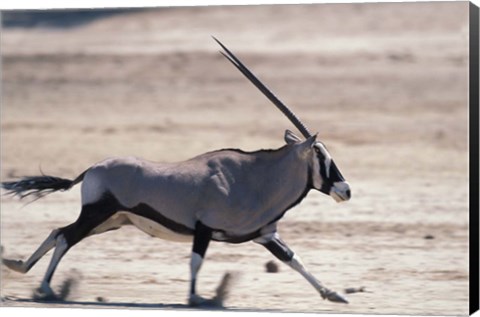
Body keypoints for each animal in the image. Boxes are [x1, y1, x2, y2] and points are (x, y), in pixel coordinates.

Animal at [0, 38, 352, 304]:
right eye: (321, 155)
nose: (345, 190)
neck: (256, 178)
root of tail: (91, 169)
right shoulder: (204, 228)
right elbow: (196, 261)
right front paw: (196, 298)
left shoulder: (266, 235)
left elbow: (294, 259)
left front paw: (333, 294)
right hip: (98, 214)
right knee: (65, 236)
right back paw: (45, 287)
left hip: (110, 221)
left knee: (58, 232)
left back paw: (19, 267)